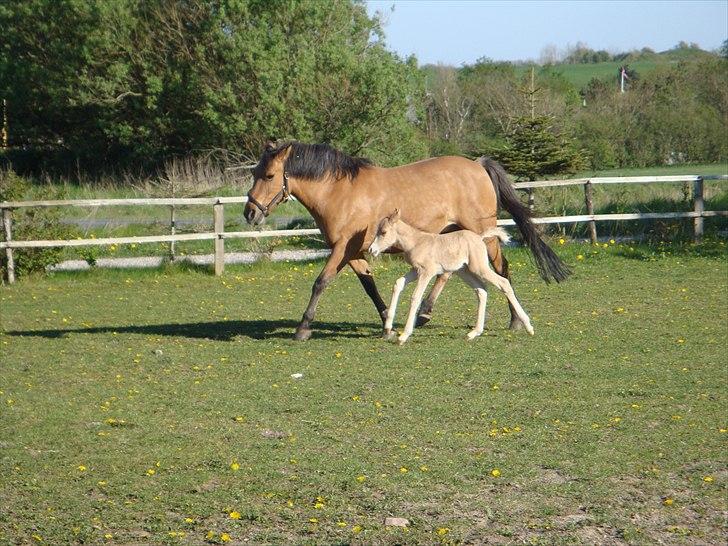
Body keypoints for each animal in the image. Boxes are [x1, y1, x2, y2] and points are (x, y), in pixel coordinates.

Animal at [370, 209, 536, 344]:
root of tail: (480, 237)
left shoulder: (427, 272)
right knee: (481, 289)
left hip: (479, 268)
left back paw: (528, 327)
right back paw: (474, 333)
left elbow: (415, 296)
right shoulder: (415, 270)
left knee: (503, 283)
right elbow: (398, 283)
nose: (372, 250)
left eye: (383, 232)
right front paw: (388, 327)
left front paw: (403, 336)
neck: (416, 241)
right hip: (464, 271)